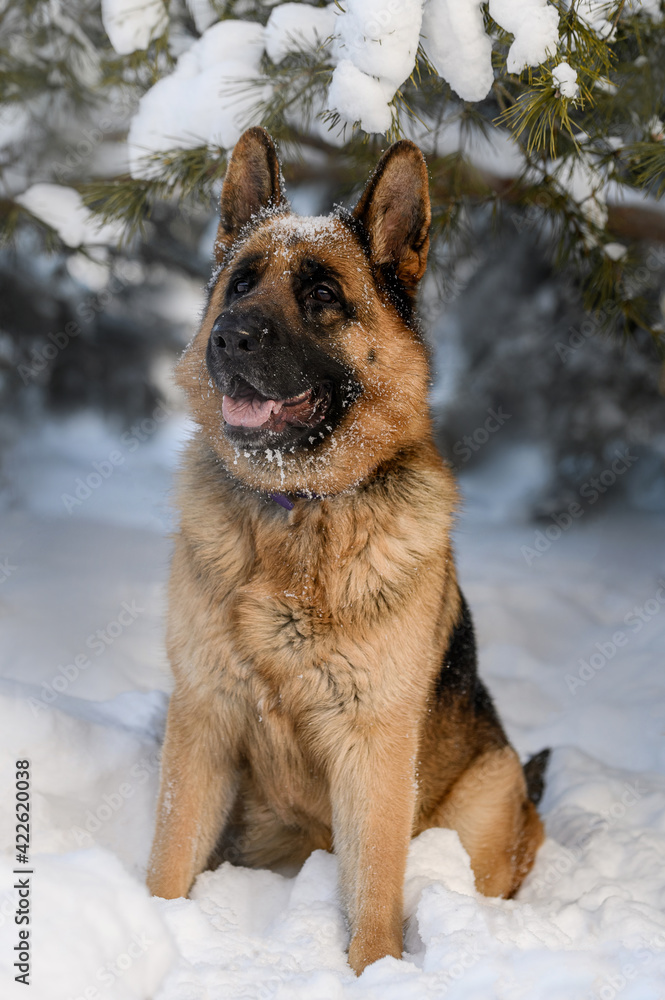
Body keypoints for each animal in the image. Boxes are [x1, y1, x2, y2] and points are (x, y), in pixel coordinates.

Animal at [148, 127, 548, 976]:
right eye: (239, 285)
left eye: (323, 298)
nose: (230, 337)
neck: (296, 515)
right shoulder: (203, 720)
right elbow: (168, 859)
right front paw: (148, 925)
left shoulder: (373, 750)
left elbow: (373, 893)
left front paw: (374, 974)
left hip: (481, 799)